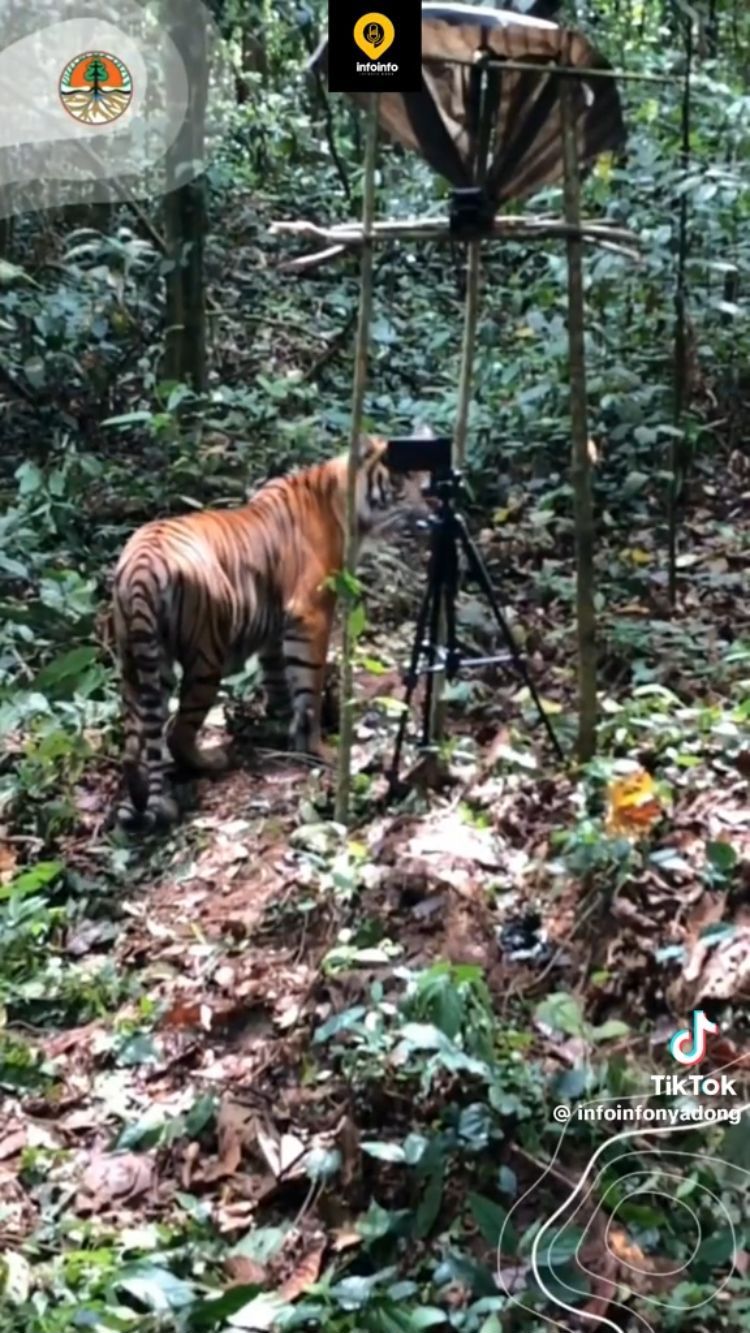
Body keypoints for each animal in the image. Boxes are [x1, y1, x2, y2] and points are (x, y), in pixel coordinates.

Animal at [110, 437, 428, 826]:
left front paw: (279, 723)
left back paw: (137, 799)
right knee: (177, 732)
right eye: (399, 480)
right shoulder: (311, 614)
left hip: (138, 658)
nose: (429, 511)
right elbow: (309, 687)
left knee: (136, 739)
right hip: (206, 655)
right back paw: (211, 762)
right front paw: (315, 748)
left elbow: (277, 679)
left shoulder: (276, 630)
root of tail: (142, 565)